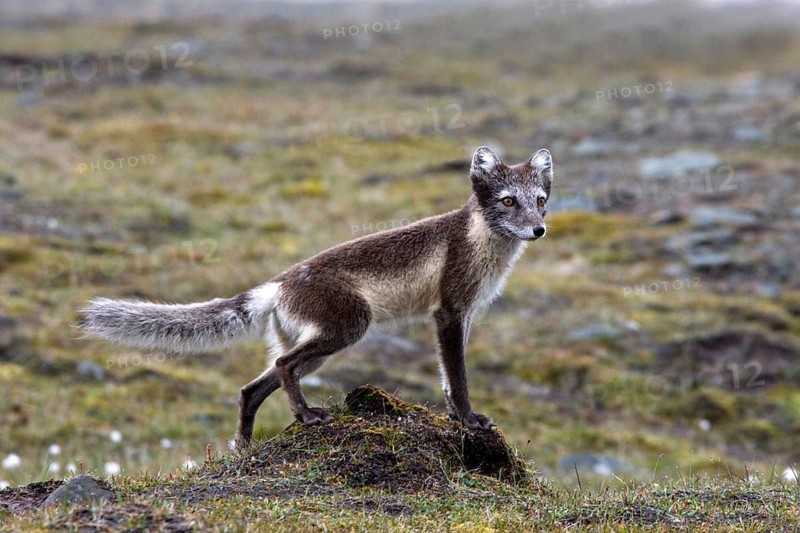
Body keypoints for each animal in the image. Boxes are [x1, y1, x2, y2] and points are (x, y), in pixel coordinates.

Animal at [80, 146, 553, 448]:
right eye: (507, 201)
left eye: (540, 200)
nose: (539, 229)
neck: (481, 243)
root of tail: (278, 283)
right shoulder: (449, 312)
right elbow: (458, 377)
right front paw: (469, 420)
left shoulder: (463, 315)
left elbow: (447, 377)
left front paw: (459, 417)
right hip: (347, 329)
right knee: (282, 366)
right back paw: (307, 417)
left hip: (319, 347)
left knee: (252, 387)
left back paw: (244, 447)